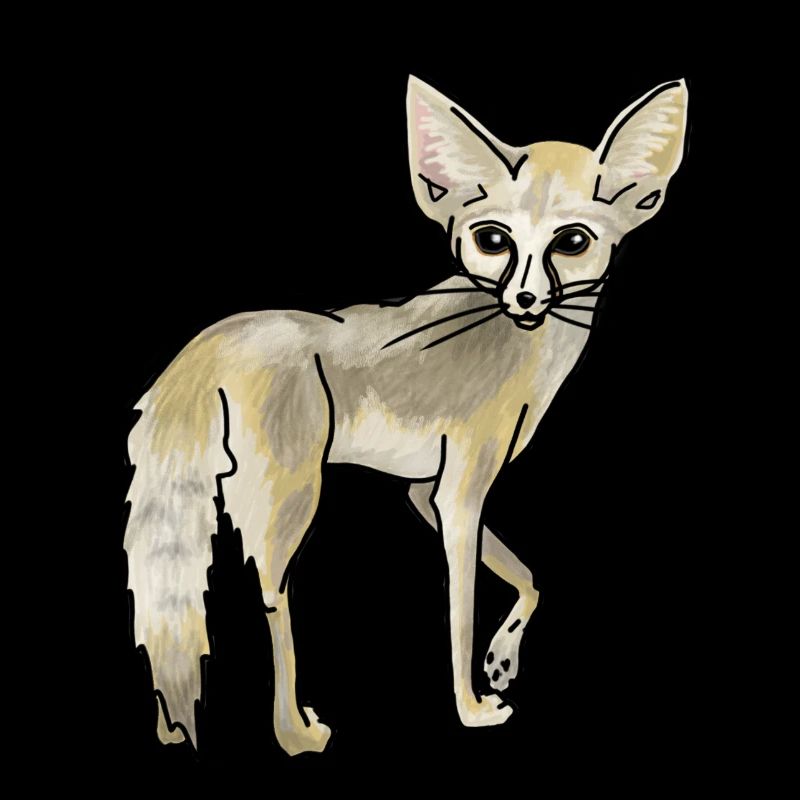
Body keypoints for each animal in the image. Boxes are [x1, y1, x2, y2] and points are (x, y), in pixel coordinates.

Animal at [124, 75, 688, 756]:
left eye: (573, 242)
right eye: (492, 240)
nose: (525, 297)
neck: (524, 344)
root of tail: (213, 337)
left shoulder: (428, 491)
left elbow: (527, 577)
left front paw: (503, 659)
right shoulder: (460, 492)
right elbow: (460, 613)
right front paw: (471, 708)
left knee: (176, 611)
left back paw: (168, 728)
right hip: (292, 499)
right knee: (270, 596)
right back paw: (293, 733)